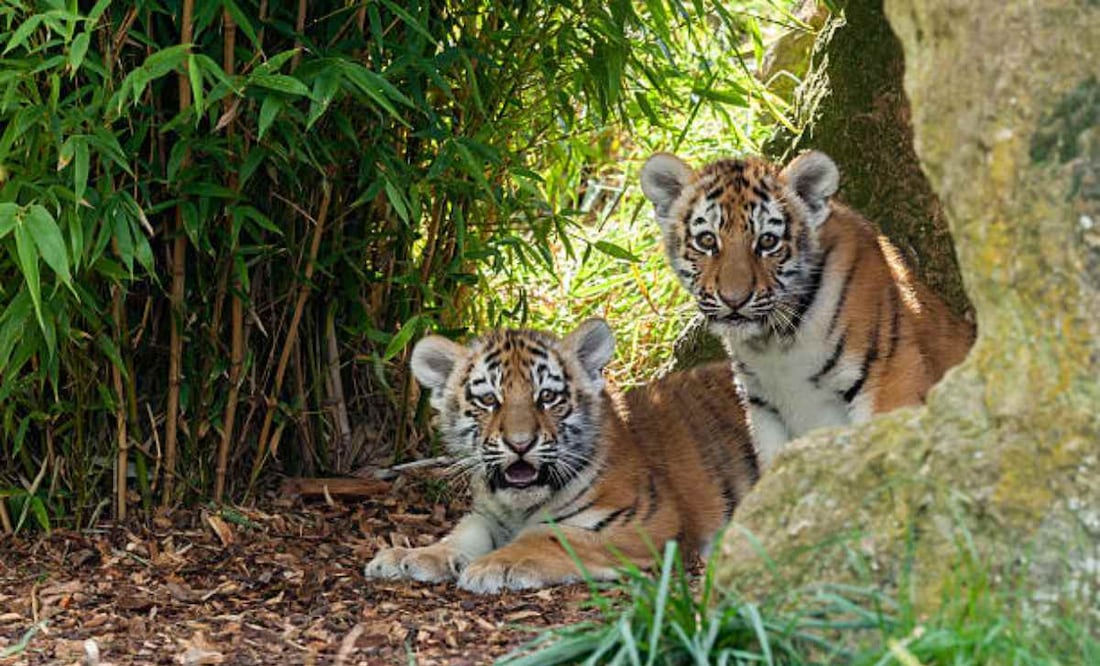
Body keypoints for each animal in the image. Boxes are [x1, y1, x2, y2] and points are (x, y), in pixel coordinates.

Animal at [364, 318, 757, 593]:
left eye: (548, 397)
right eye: (489, 400)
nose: (520, 443)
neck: (518, 507)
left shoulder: (647, 521)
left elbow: (548, 534)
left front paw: (493, 566)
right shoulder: (489, 513)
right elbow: (463, 531)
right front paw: (411, 556)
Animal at [639, 150, 975, 468]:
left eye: (767, 241)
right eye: (707, 240)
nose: (734, 299)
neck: (775, 343)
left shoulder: (890, 377)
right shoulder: (764, 410)